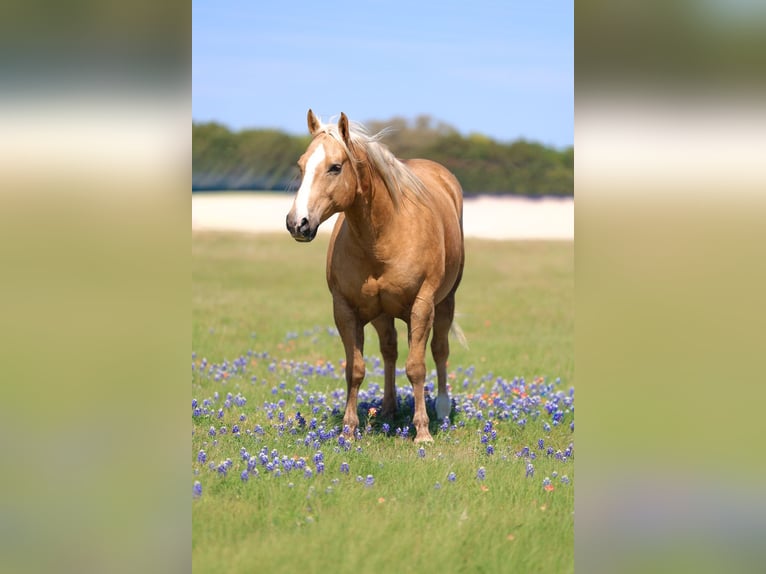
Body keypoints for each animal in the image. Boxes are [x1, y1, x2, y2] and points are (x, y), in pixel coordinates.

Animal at [286, 109, 465, 443]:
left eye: (335, 167)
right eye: (301, 166)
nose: (297, 223)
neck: (382, 236)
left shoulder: (423, 306)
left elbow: (417, 367)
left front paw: (422, 432)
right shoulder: (344, 310)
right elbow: (354, 369)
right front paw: (348, 429)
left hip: (446, 301)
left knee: (440, 351)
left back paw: (443, 409)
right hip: (383, 313)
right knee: (389, 351)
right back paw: (388, 409)